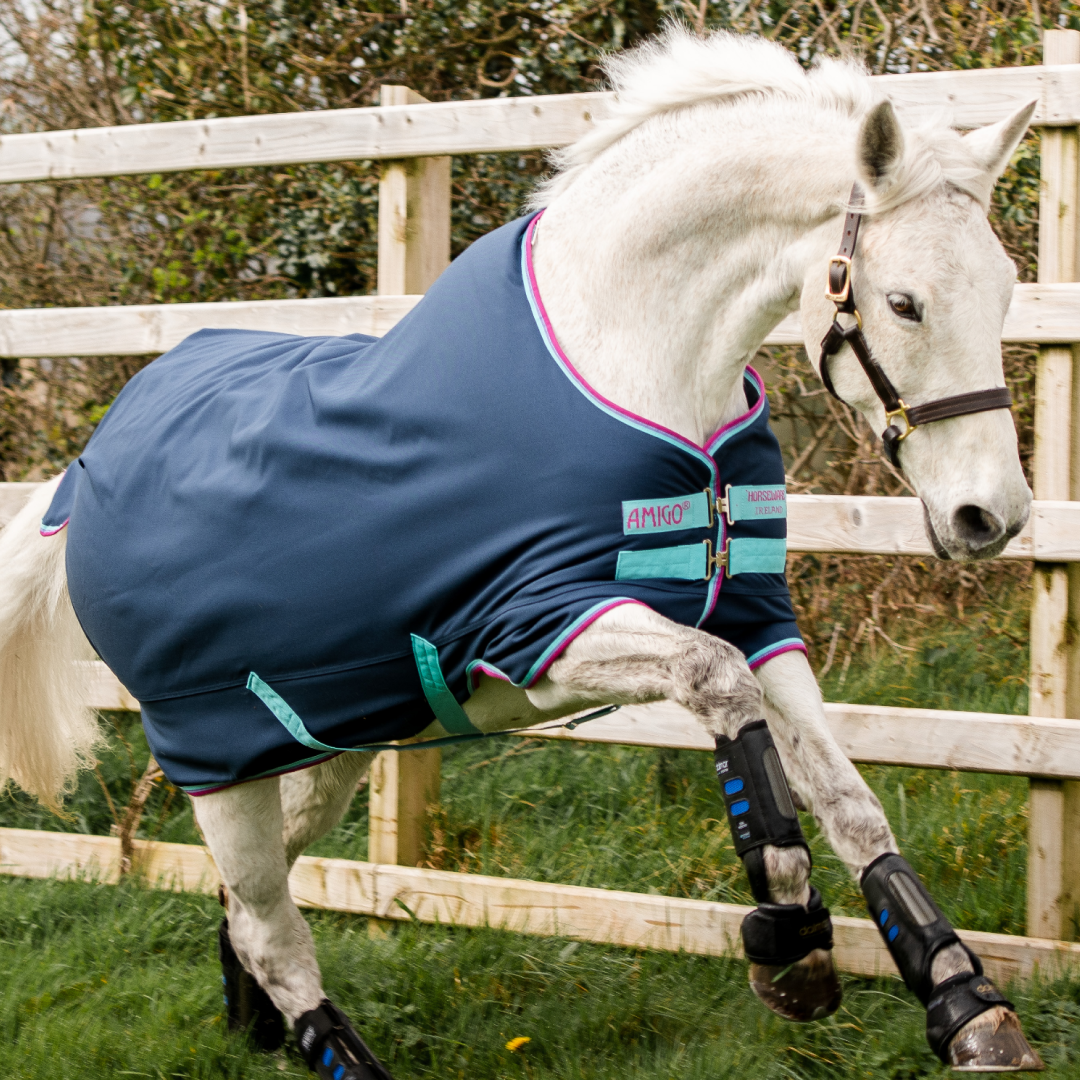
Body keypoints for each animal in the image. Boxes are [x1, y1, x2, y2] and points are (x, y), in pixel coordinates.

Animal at [0, 27, 1043, 1077]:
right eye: (904, 302)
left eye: (1004, 289)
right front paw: (791, 944)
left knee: (254, 899)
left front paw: (966, 1004)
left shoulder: (760, 620)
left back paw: (254, 1024)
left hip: (321, 747)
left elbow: (848, 799)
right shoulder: (541, 632)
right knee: (270, 927)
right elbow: (721, 693)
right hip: (215, 764)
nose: (990, 516)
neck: (634, 360)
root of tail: (79, 479)